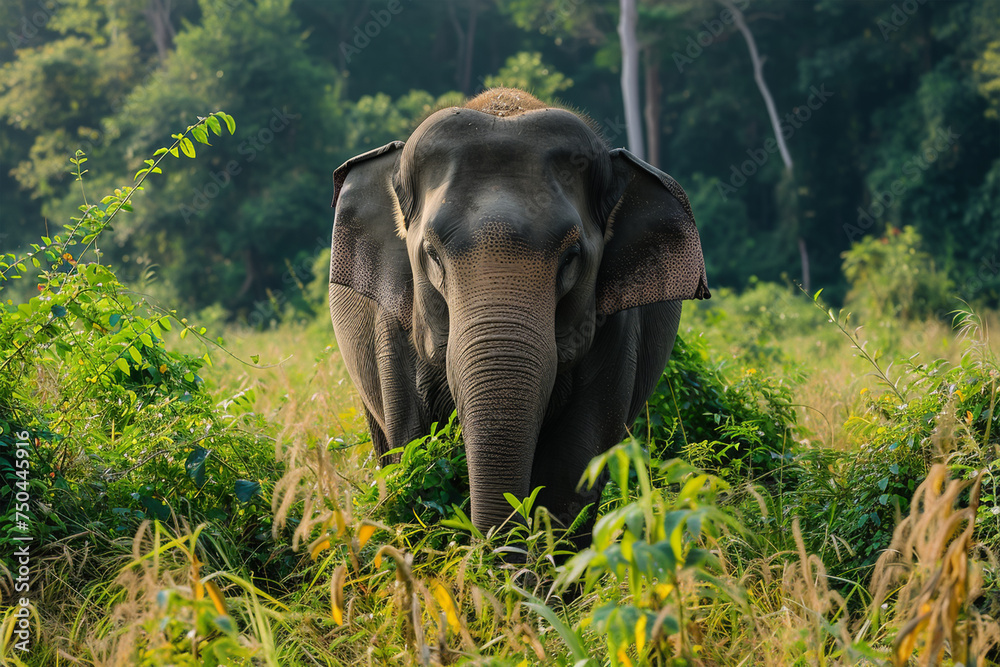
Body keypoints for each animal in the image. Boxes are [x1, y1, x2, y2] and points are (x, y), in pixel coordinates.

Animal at [329, 88, 709, 535]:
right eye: (432, 256)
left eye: (571, 258)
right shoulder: (391, 326)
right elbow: (413, 448)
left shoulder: (616, 330)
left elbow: (575, 460)